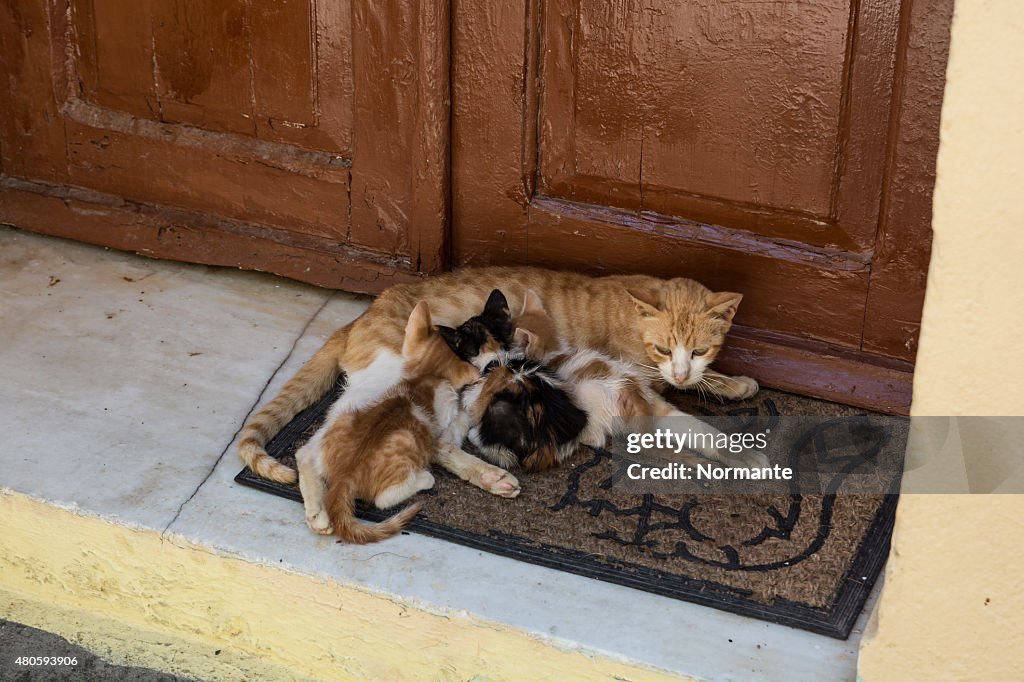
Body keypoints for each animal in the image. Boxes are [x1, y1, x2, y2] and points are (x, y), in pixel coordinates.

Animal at [296, 301, 479, 540]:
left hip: (343, 419)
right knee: (384, 499)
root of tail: (344, 478)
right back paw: (424, 479)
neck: (423, 377)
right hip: (405, 447)